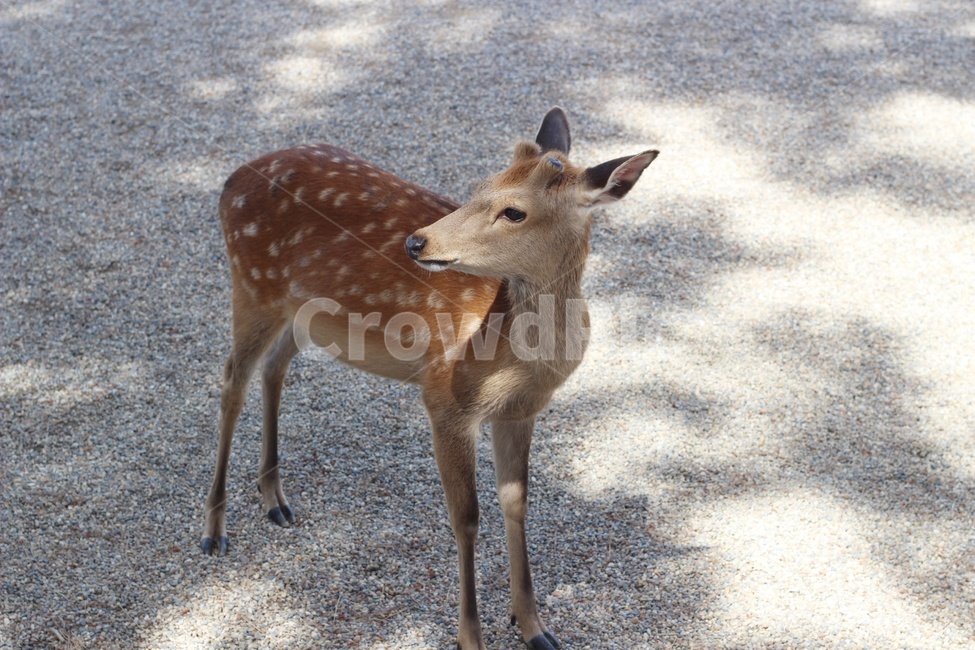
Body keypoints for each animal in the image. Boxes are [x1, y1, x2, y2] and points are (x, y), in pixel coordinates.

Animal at [201, 107, 658, 649]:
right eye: (479, 185)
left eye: (514, 212)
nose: (417, 242)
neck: (513, 352)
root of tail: (232, 179)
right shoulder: (444, 397)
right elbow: (466, 519)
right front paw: (470, 637)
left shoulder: (520, 410)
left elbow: (516, 503)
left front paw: (532, 626)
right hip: (252, 283)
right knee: (232, 381)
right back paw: (214, 528)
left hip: (303, 311)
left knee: (274, 367)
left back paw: (275, 499)